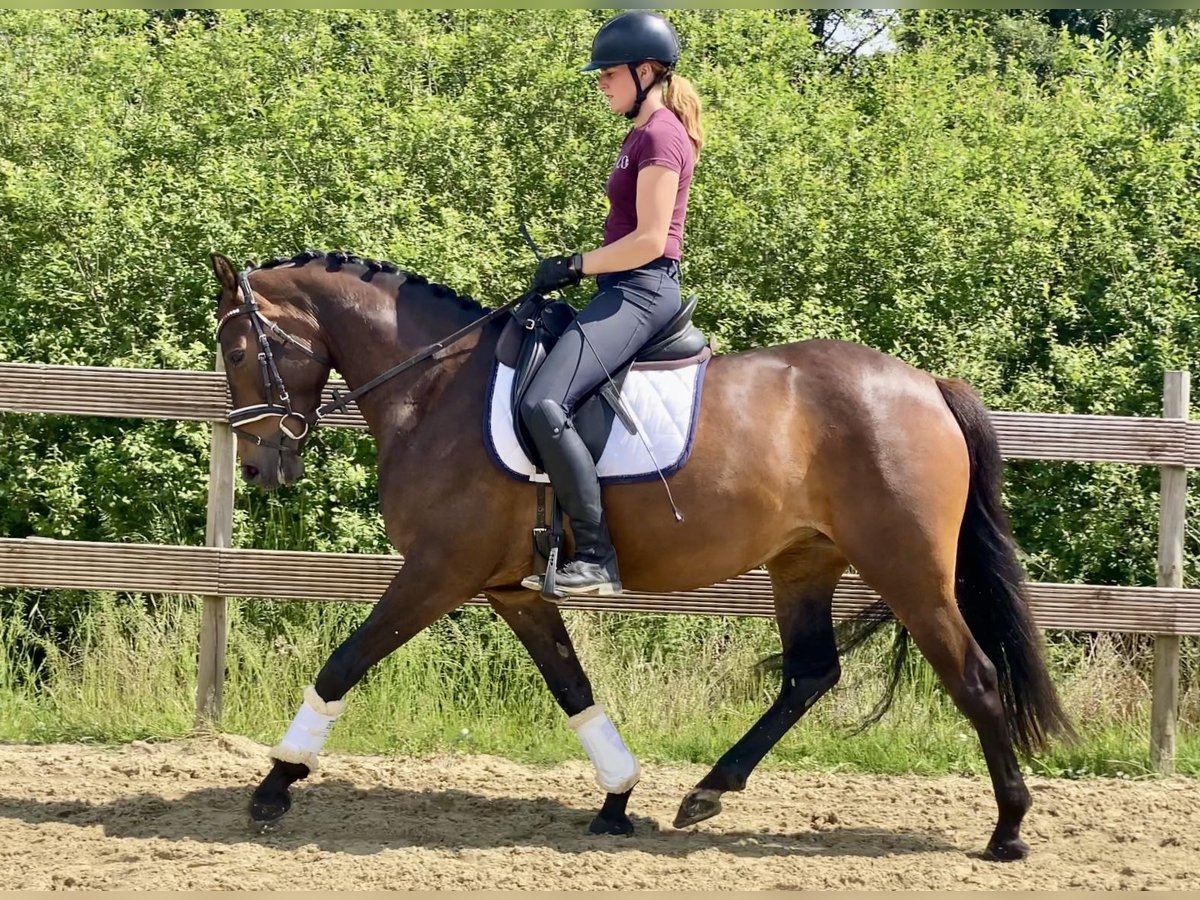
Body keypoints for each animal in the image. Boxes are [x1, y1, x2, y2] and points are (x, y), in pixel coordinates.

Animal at [206, 248, 1070, 868]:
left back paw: (1009, 831)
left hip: (908, 567)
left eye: (238, 349)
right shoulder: (511, 588)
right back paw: (707, 794)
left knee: (972, 674)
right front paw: (618, 800)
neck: (438, 389)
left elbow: (344, 662)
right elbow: (573, 688)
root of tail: (926, 383)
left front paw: (274, 785)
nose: (261, 466)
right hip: (804, 561)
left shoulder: (438, 572)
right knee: (810, 674)